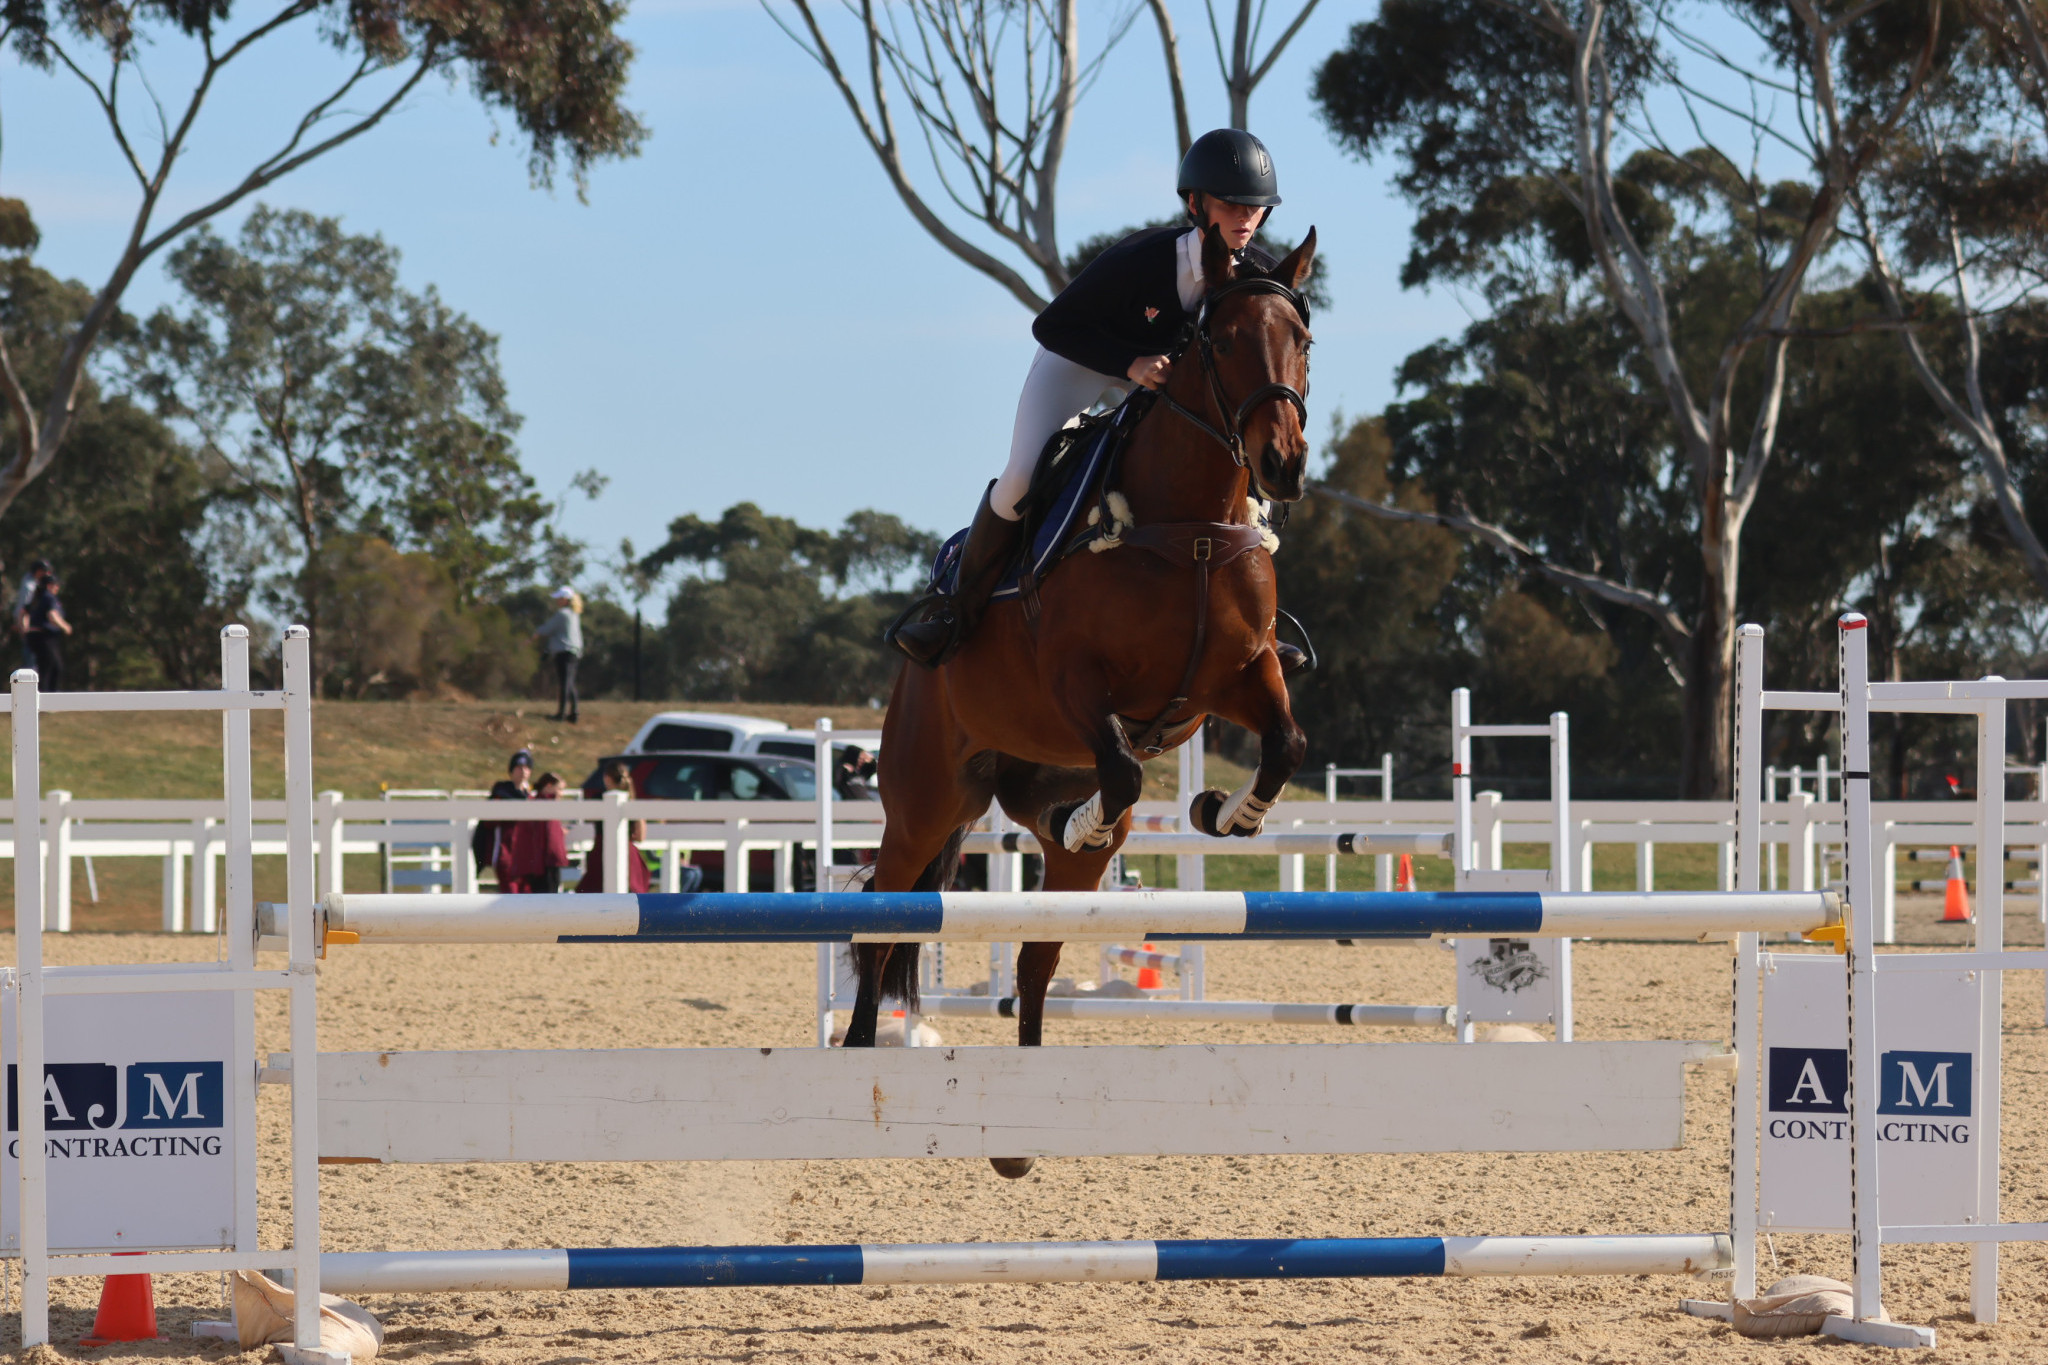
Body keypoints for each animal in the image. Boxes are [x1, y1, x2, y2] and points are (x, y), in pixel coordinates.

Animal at [852, 224, 1317, 1177]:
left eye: (1305, 340)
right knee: (882, 920)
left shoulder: (1241, 674)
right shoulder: (1076, 680)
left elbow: (1284, 744)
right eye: (1220, 342)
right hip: (924, 800)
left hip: (1024, 782)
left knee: (1038, 945)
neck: (1192, 523)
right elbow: (1126, 768)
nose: (1284, 465)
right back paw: (853, 1052)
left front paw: (1223, 812)